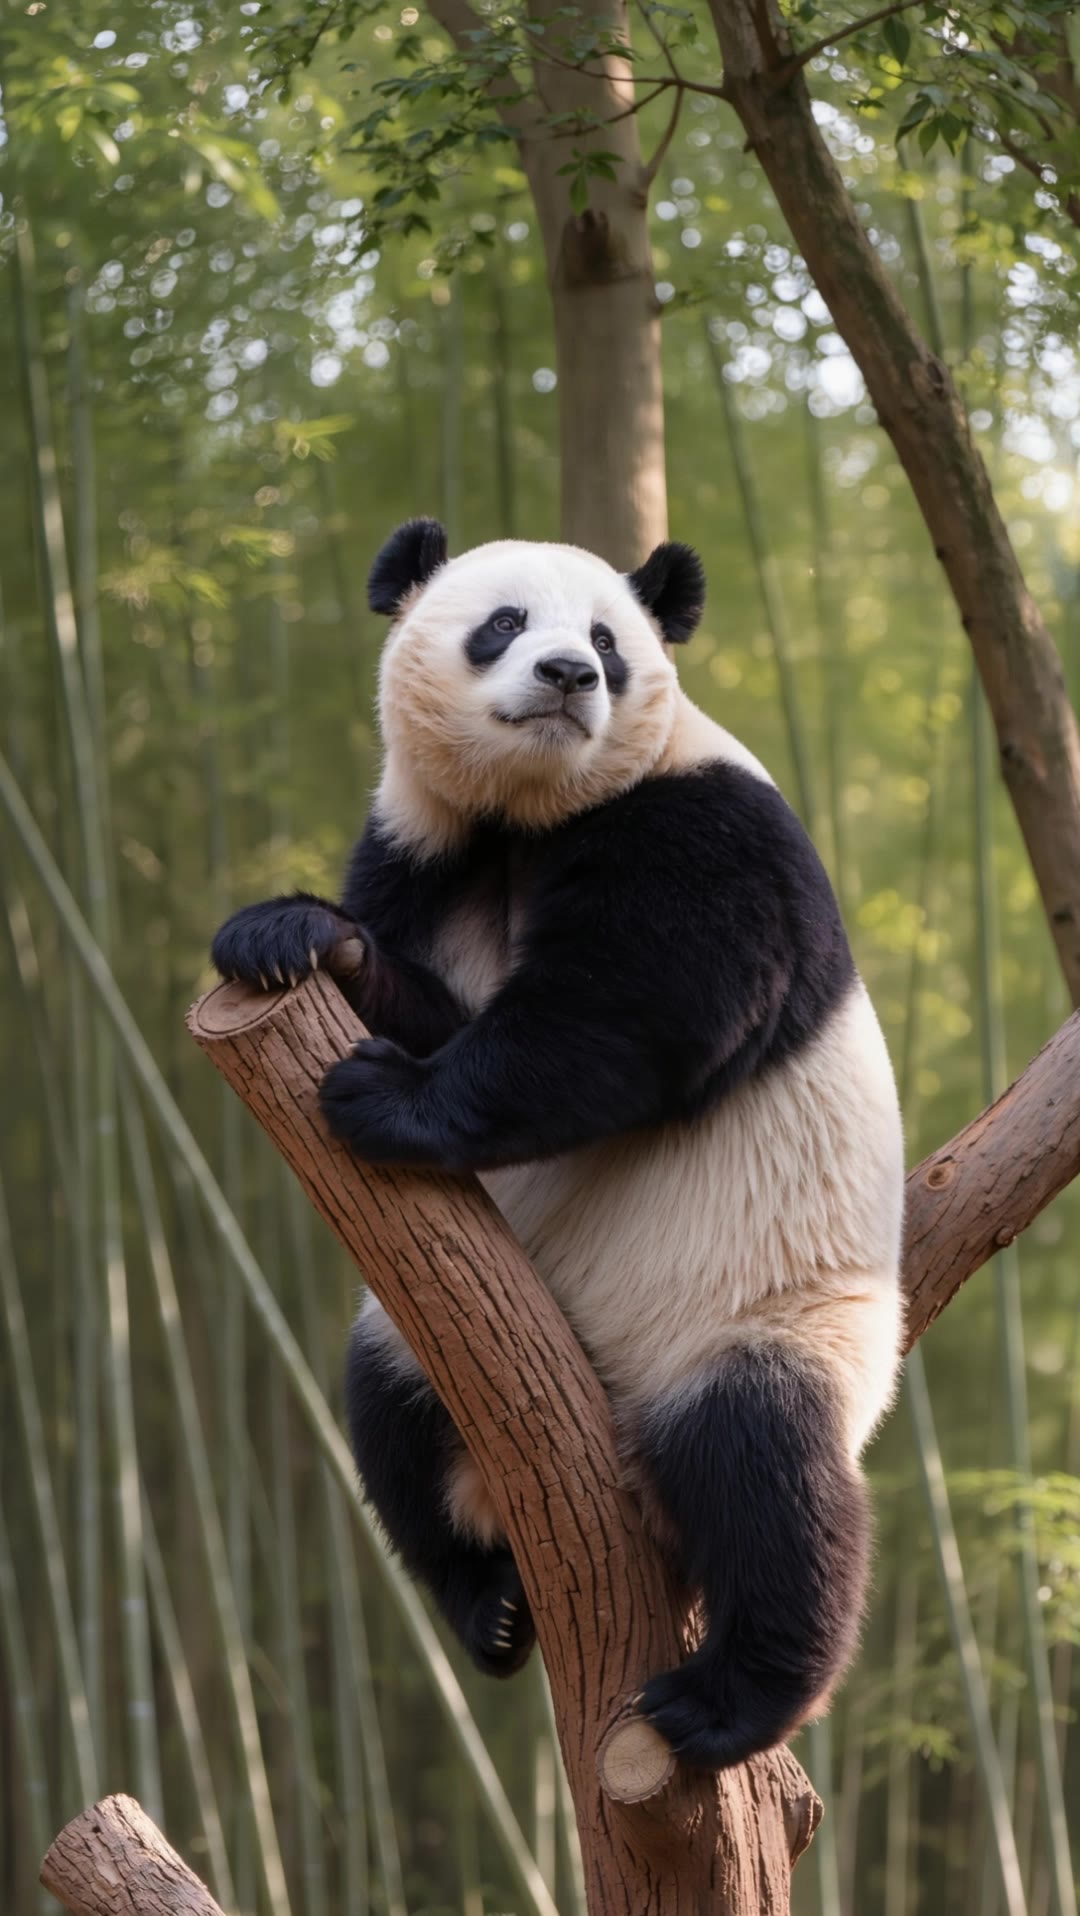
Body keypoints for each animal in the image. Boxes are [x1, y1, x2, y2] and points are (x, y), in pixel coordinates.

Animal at [211, 518, 904, 1772]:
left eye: (607, 638)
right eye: (501, 622)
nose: (569, 675)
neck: (526, 815)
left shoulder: (700, 821)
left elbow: (635, 1007)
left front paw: (390, 1097)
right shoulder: (423, 849)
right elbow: (426, 985)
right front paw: (291, 935)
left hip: (764, 1316)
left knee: (768, 1472)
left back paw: (731, 1698)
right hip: (418, 1342)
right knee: (383, 1408)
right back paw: (487, 1604)